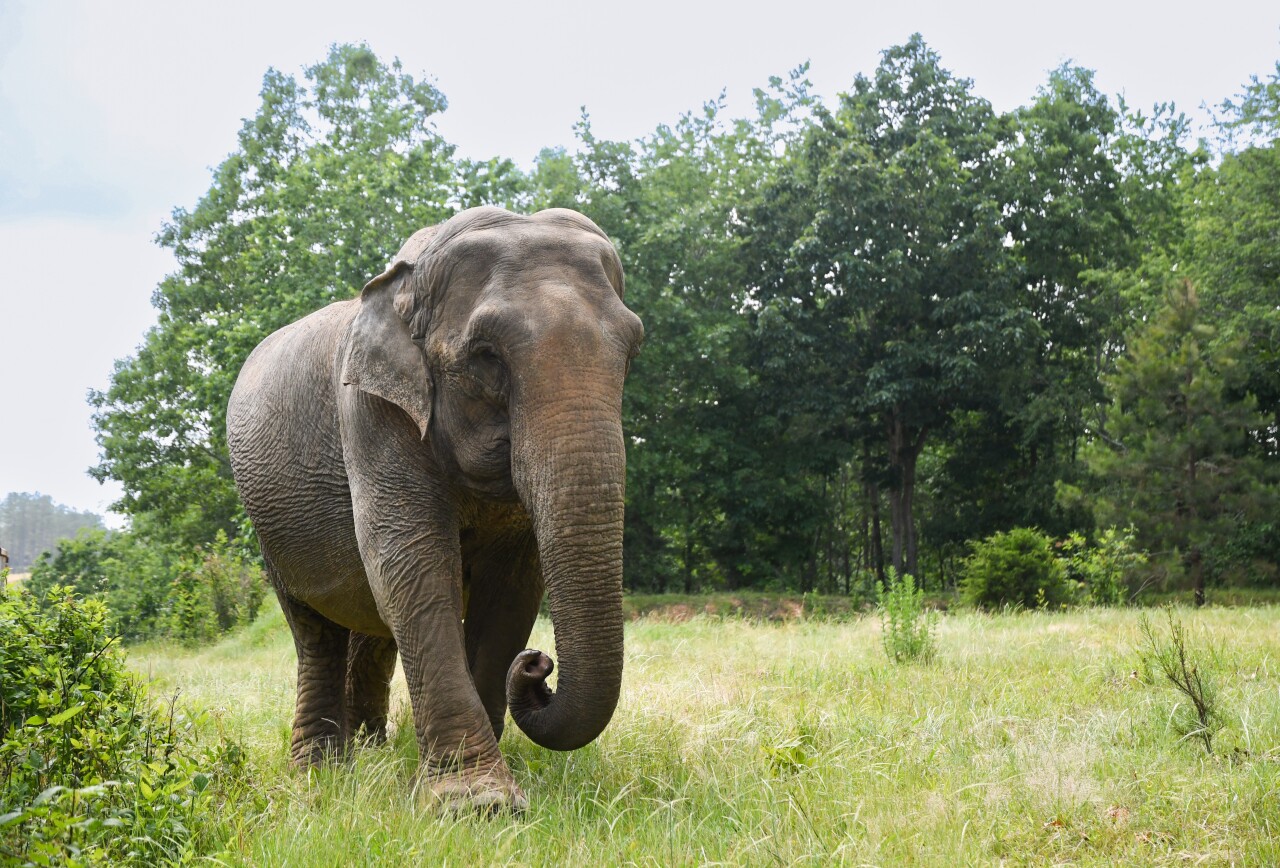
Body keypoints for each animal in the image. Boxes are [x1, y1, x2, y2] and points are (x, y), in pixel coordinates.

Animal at [225, 206, 643, 813]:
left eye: (632, 351)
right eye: (486, 356)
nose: (539, 665)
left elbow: (511, 591)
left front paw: (484, 784)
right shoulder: (371, 411)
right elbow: (412, 564)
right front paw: (479, 803)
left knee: (370, 628)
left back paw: (373, 752)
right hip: (268, 521)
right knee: (315, 630)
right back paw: (321, 775)